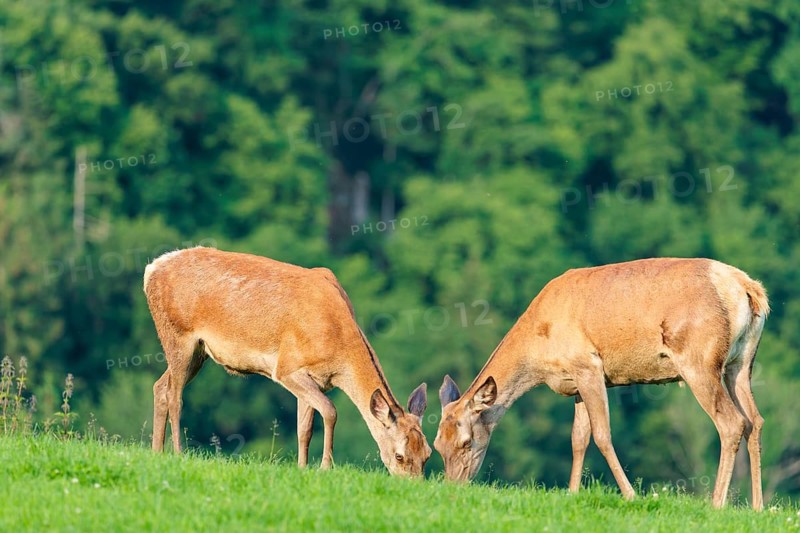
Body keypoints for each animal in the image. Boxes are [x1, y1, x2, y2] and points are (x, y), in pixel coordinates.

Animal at [143, 246, 431, 476]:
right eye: (399, 455)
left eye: (427, 454)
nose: (412, 485)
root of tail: (150, 270)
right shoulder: (287, 368)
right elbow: (330, 411)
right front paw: (325, 467)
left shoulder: (314, 379)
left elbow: (304, 427)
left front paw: (302, 468)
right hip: (178, 335)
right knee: (174, 394)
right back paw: (178, 452)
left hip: (198, 352)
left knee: (160, 386)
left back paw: (157, 452)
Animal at [434, 257, 769, 509]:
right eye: (437, 444)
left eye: (466, 441)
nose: (454, 487)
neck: (540, 347)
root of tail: (748, 289)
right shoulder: (576, 383)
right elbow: (578, 438)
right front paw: (572, 493)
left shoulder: (588, 365)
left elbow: (602, 435)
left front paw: (631, 495)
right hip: (741, 363)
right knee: (755, 420)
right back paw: (758, 507)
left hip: (698, 360)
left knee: (732, 422)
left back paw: (716, 504)